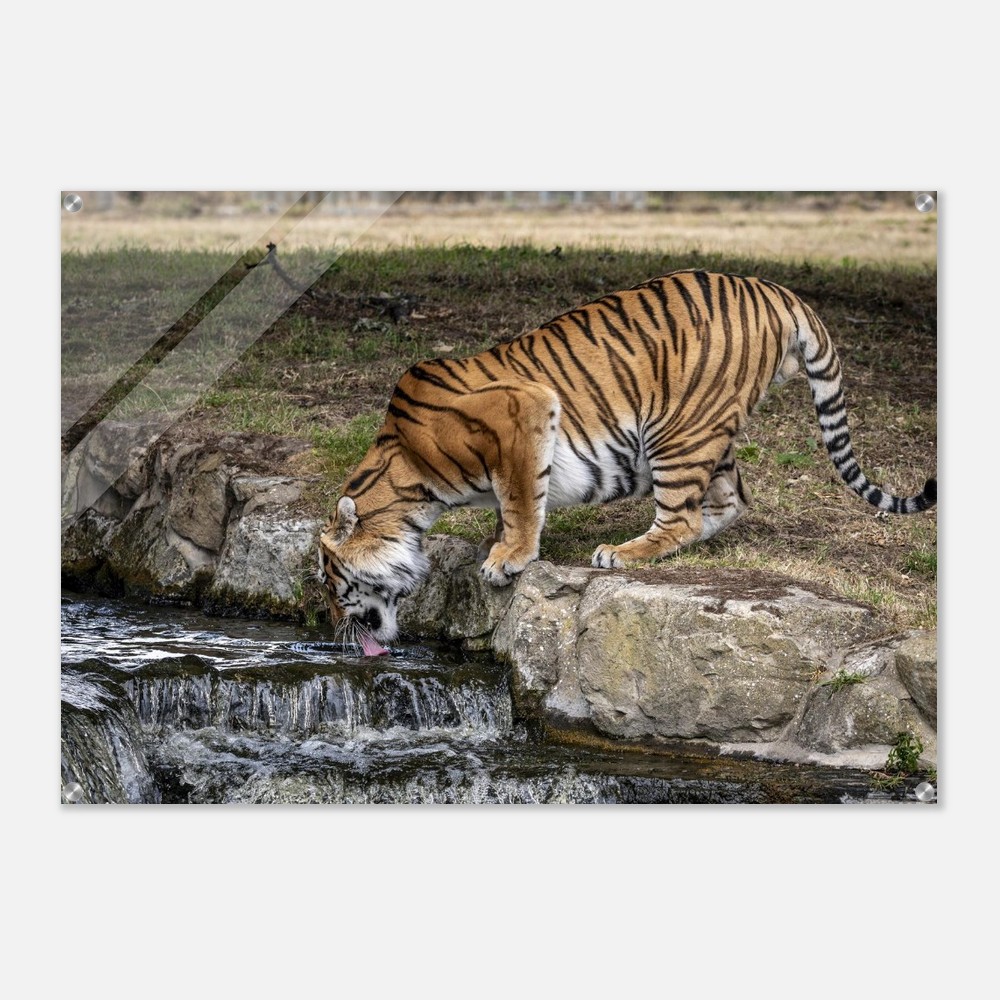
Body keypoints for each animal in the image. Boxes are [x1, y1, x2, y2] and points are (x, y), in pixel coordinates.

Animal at [318, 270, 936, 648]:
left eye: (330, 581)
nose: (331, 628)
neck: (408, 479)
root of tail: (774, 289)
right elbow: (513, 502)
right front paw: (499, 546)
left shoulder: (524, 410)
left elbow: (520, 499)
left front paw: (508, 559)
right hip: (707, 432)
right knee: (729, 500)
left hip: (676, 430)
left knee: (682, 516)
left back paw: (621, 552)